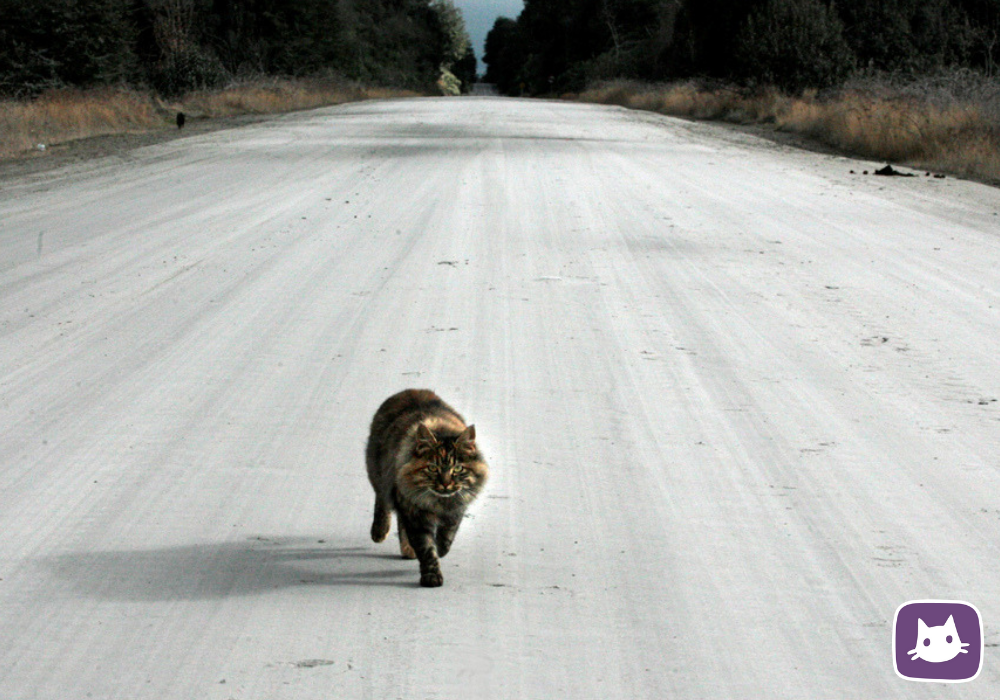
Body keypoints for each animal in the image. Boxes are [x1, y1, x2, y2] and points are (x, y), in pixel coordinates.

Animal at [370, 388, 490, 584]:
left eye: (458, 468)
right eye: (433, 468)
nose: (446, 483)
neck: (438, 502)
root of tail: (411, 390)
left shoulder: (456, 510)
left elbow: (447, 537)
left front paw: (440, 549)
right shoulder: (413, 511)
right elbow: (426, 548)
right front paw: (431, 576)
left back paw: (408, 550)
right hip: (380, 476)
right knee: (382, 501)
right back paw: (379, 531)